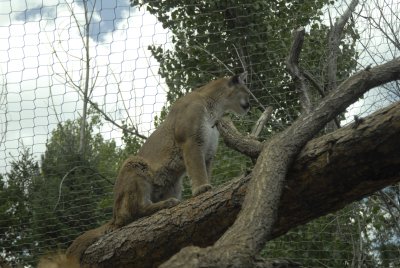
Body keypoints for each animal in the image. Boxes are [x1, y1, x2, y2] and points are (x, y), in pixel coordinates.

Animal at [65, 71, 250, 262]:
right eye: (247, 92)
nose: (250, 105)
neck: (214, 107)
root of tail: (113, 216)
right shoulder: (192, 142)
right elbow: (197, 170)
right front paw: (202, 189)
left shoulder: (208, 151)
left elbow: (205, 170)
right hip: (134, 164)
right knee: (138, 210)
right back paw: (168, 203)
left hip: (173, 183)